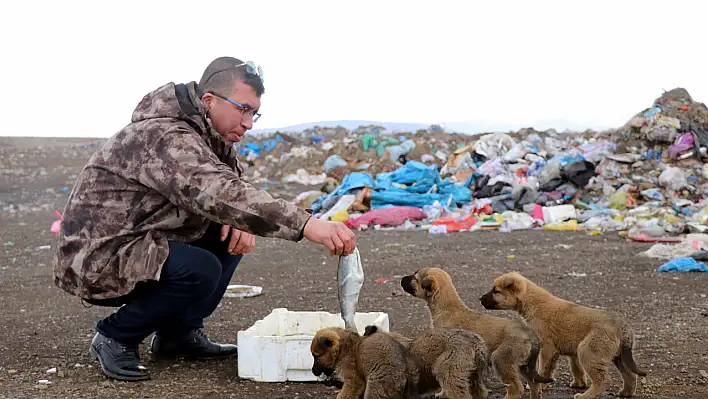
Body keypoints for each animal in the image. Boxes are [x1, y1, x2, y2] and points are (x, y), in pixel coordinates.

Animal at [402, 268, 552, 399]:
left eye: (415, 278)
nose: (401, 278)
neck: (447, 308)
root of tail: (532, 336)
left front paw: (442, 393)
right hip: (524, 366)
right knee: (534, 384)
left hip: (501, 360)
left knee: (516, 388)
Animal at [478, 272, 648, 399]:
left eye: (496, 291)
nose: (479, 299)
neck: (533, 303)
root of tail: (623, 327)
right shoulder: (571, 351)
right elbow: (576, 367)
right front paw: (579, 383)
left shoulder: (547, 348)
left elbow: (544, 369)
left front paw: (542, 385)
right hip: (617, 355)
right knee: (630, 374)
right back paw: (626, 393)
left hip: (588, 350)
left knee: (604, 380)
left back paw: (586, 396)